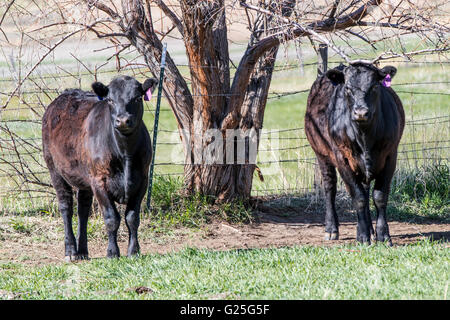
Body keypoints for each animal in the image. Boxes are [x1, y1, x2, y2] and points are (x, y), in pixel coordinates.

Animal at [42, 75, 158, 260]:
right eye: (110, 100)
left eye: (137, 98)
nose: (123, 120)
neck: (125, 153)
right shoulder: (99, 180)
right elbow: (111, 218)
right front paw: (112, 253)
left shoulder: (143, 179)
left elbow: (132, 218)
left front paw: (134, 251)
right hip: (55, 170)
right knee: (66, 207)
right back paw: (71, 251)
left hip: (84, 178)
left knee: (83, 209)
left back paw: (83, 251)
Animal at [306, 62, 404, 245]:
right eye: (348, 89)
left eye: (374, 86)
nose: (361, 113)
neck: (364, 135)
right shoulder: (342, 159)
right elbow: (358, 198)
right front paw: (363, 236)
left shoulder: (390, 156)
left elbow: (379, 196)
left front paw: (382, 235)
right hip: (322, 155)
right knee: (330, 188)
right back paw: (332, 229)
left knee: (365, 190)